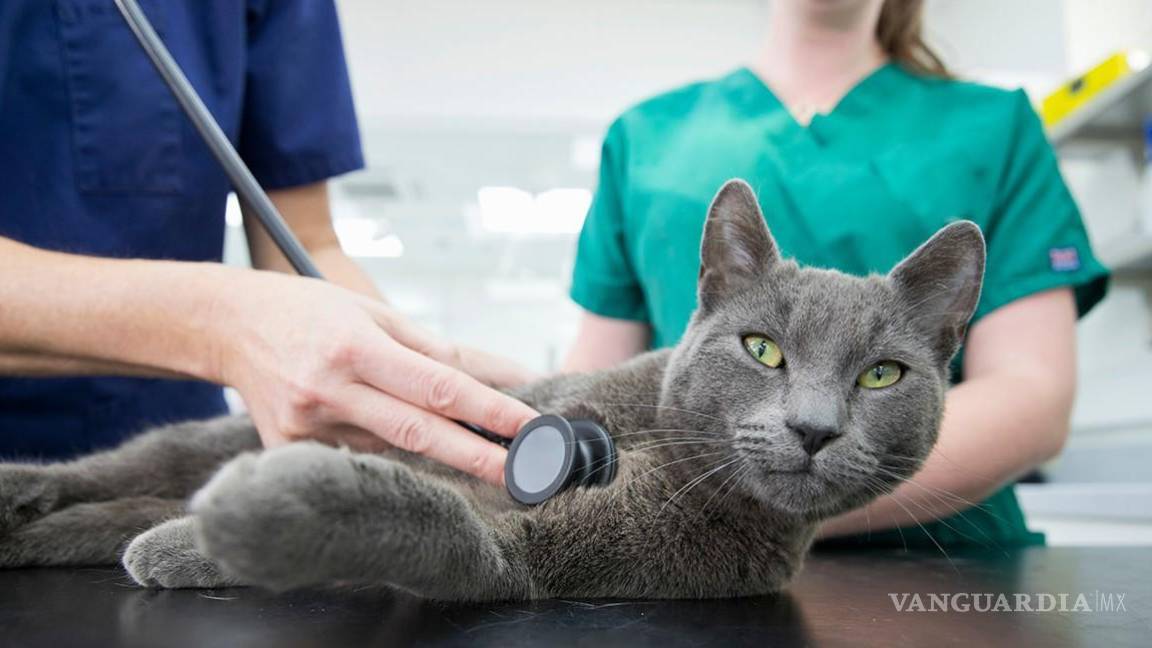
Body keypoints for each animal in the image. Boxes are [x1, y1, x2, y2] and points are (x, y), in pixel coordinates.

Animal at [0, 178, 986, 599]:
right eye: (764, 350)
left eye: (881, 375)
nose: (815, 428)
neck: (652, 451)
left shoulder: (535, 557)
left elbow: (434, 522)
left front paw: (246, 520)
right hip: (206, 436)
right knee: (122, 464)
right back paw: (23, 490)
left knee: (115, 509)